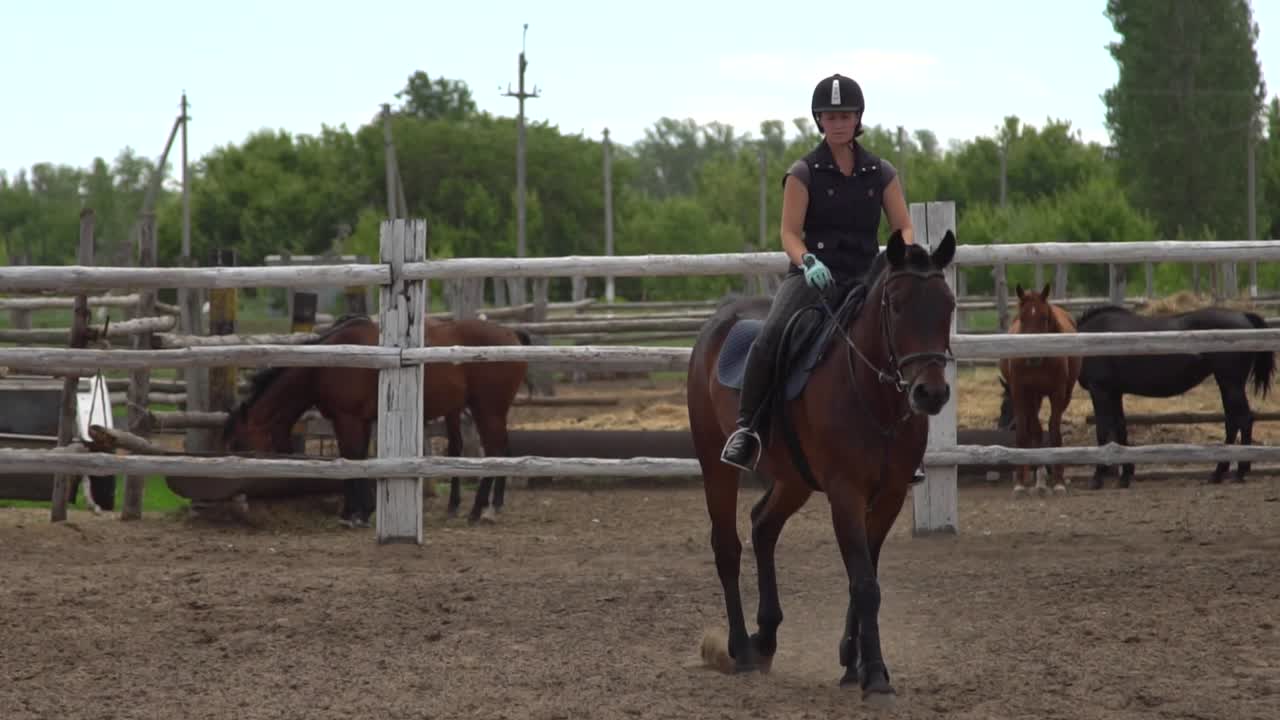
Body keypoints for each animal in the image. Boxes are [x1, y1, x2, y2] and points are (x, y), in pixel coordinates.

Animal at [222, 314, 532, 526]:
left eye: (238, 442)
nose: (238, 496)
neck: (326, 365)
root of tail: (510, 334)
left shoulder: (347, 419)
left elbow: (351, 459)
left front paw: (354, 513)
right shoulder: (360, 421)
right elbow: (359, 459)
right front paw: (361, 510)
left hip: (487, 410)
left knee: (494, 452)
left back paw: (480, 510)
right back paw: (488, 507)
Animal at [686, 229, 956, 707]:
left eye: (948, 305)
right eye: (896, 304)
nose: (931, 393)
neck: (875, 397)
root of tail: (719, 320)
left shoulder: (889, 495)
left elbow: (865, 575)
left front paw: (854, 661)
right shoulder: (846, 492)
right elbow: (864, 583)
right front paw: (875, 675)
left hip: (794, 479)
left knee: (763, 525)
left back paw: (766, 637)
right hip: (715, 463)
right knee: (727, 546)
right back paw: (741, 650)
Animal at [997, 283, 1082, 497]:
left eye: (1044, 317)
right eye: (1022, 318)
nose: (1032, 356)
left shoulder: (1058, 393)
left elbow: (1054, 430)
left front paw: (1059, 481)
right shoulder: (1021, 392)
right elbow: (1025, 432)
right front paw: (1020, 483)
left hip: (1062, 395)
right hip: (1033, 397)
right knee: (1034, 429)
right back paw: (1039, 479)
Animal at [1075, 304, 1274, 488]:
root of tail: (1242, 315)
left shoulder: (1100, 391)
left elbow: (1103, 431)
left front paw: (1097, 478)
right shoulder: (1115, 392)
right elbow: (1120, 429)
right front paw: (1125, 476)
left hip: (1231, 384)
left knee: (1243, 420)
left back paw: (1237, 472)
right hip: (1228, 385)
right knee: (1233, 422)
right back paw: (1220, 473)